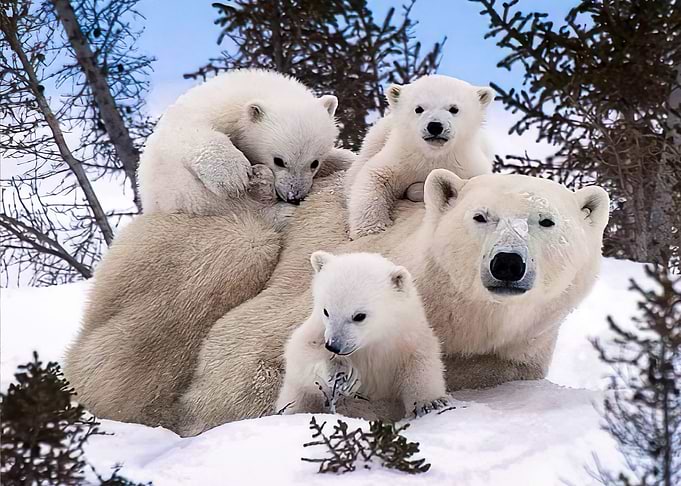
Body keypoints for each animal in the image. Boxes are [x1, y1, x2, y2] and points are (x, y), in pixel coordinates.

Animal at [137, 68, 355, 214]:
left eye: (314, 163)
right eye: (279, 160)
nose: (294, 197)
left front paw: (346, 158)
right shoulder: (203, 112)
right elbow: (190, 132)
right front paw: (232, 176)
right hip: (182, 193)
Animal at [275, 251, 449, 418]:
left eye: (359, 316)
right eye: (326, 311)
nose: (334, 346)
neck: (372, 343)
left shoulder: (407, 337)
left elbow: (420, 363)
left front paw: (430, 403)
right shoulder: (316, 329)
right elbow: (299, 352)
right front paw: (341, 373)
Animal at [345, 75, 495, 238]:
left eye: (454, 108)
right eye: (418, 108)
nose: (435, 126)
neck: (433, 155)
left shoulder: (466, 165)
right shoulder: (401, 158)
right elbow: (375, 176)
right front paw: (371, 229)